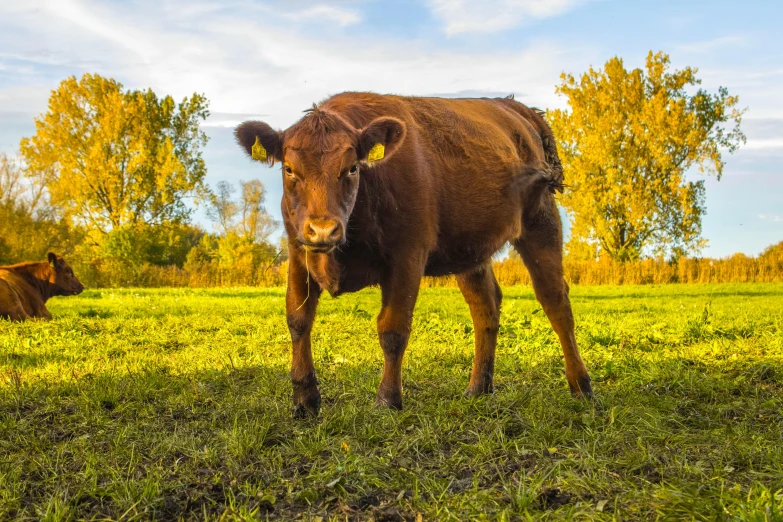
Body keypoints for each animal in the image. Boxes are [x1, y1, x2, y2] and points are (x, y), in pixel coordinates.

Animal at [236, 90, 592, 414]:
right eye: (289, 169)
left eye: (351, 168)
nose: (323, 229)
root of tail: (517, 108)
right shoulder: (298, 251)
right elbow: (298, 320)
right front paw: (305, 399)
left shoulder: (408, 255)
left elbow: (393, 329)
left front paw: (388, 399)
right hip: (470, 247)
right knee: (485, 306)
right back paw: (478, 387)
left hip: (541, 221)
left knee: (556, 302)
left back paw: (582, 385)